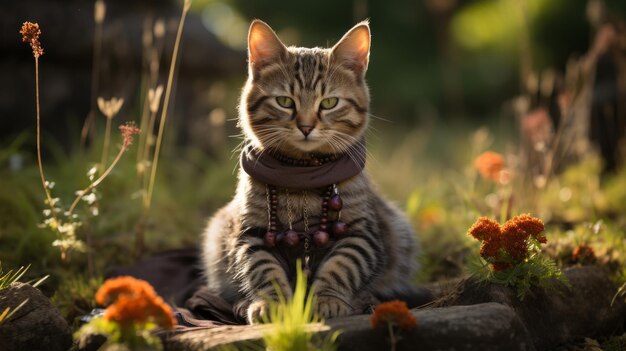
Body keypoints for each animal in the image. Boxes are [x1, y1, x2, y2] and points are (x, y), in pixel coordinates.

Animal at [200, 20, 416, 324]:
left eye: (329, 103)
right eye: (284, 101)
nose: (305, 126)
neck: (301, 174)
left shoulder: (361, 233)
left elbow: (341, 266)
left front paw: (327, 299)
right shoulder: (251, 233)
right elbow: (263, 269)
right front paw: (271, 304)